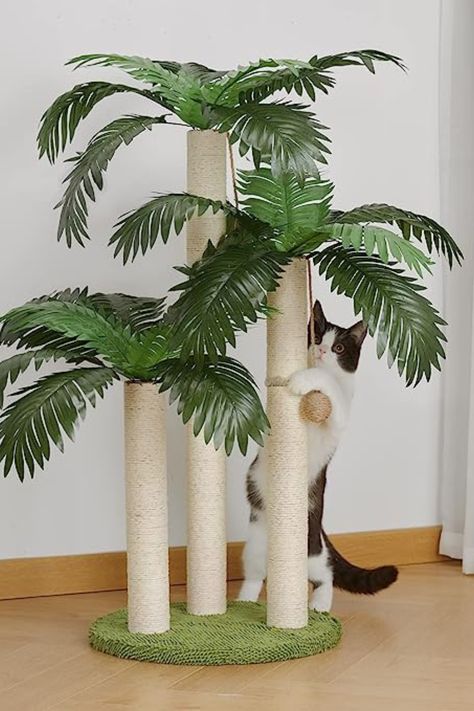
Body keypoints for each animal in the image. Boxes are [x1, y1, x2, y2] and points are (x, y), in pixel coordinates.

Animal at [239, 300, 398, 612]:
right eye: (317, 337)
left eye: (339, 348)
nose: (323, 351)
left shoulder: (339, 414)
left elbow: (328, 383)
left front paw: (303, 379)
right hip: (255, 544)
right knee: (254, 575)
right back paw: (242, 602)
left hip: (310, 550)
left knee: (325, 574)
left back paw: (320, 605)